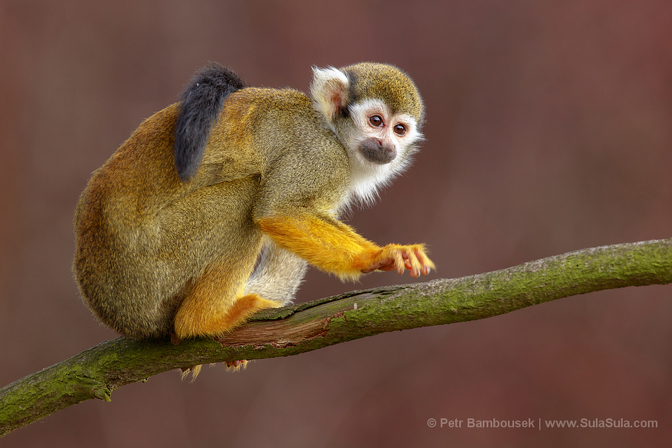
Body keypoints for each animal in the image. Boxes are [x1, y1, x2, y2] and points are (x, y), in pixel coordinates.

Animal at [72, 61, 430, 354]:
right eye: (375, 121)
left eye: (399, 129)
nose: (387, 145)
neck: (333, 133)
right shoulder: (318, 156)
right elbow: (276, 211)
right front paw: (378, 256)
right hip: (147, 267)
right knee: (244, 199)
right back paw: (201, 321)